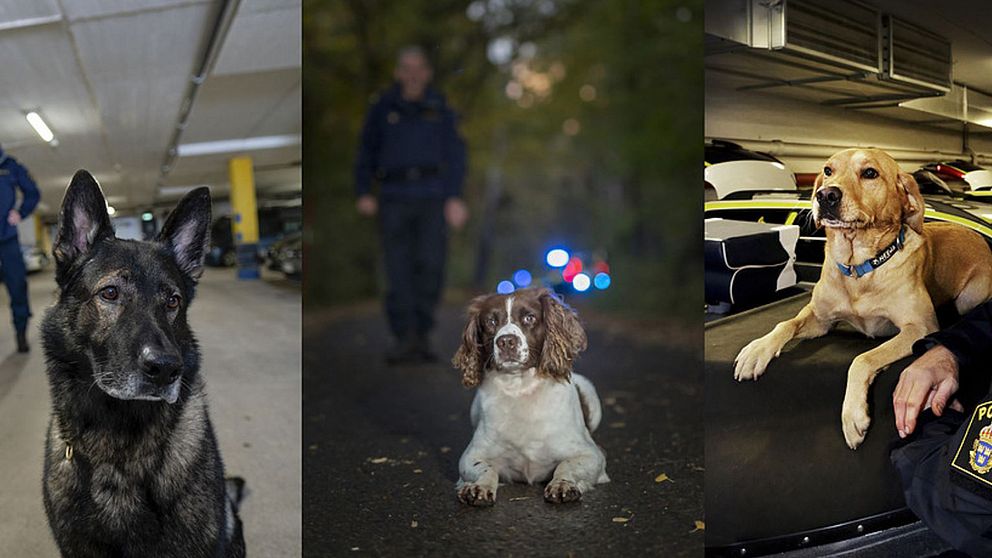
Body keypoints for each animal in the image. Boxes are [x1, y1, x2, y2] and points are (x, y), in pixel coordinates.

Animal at [454, 288, 608, 508]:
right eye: (491, 321)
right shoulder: (471, 455)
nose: (506, 341)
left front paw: (563, 484)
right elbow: (484, 467)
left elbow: (567, 464)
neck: (520, 388)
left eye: (529, 318)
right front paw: (478, 487)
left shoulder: (592, 455)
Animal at [732, 149, 992, 450]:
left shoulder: (919, 328)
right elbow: (786, 324)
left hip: (969, 296)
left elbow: (863, 359)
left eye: (870, 173)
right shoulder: (820, 320)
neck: (859, 268)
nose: (825, 195)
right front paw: (757, 350)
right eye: (828, 170)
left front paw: (853, 414)